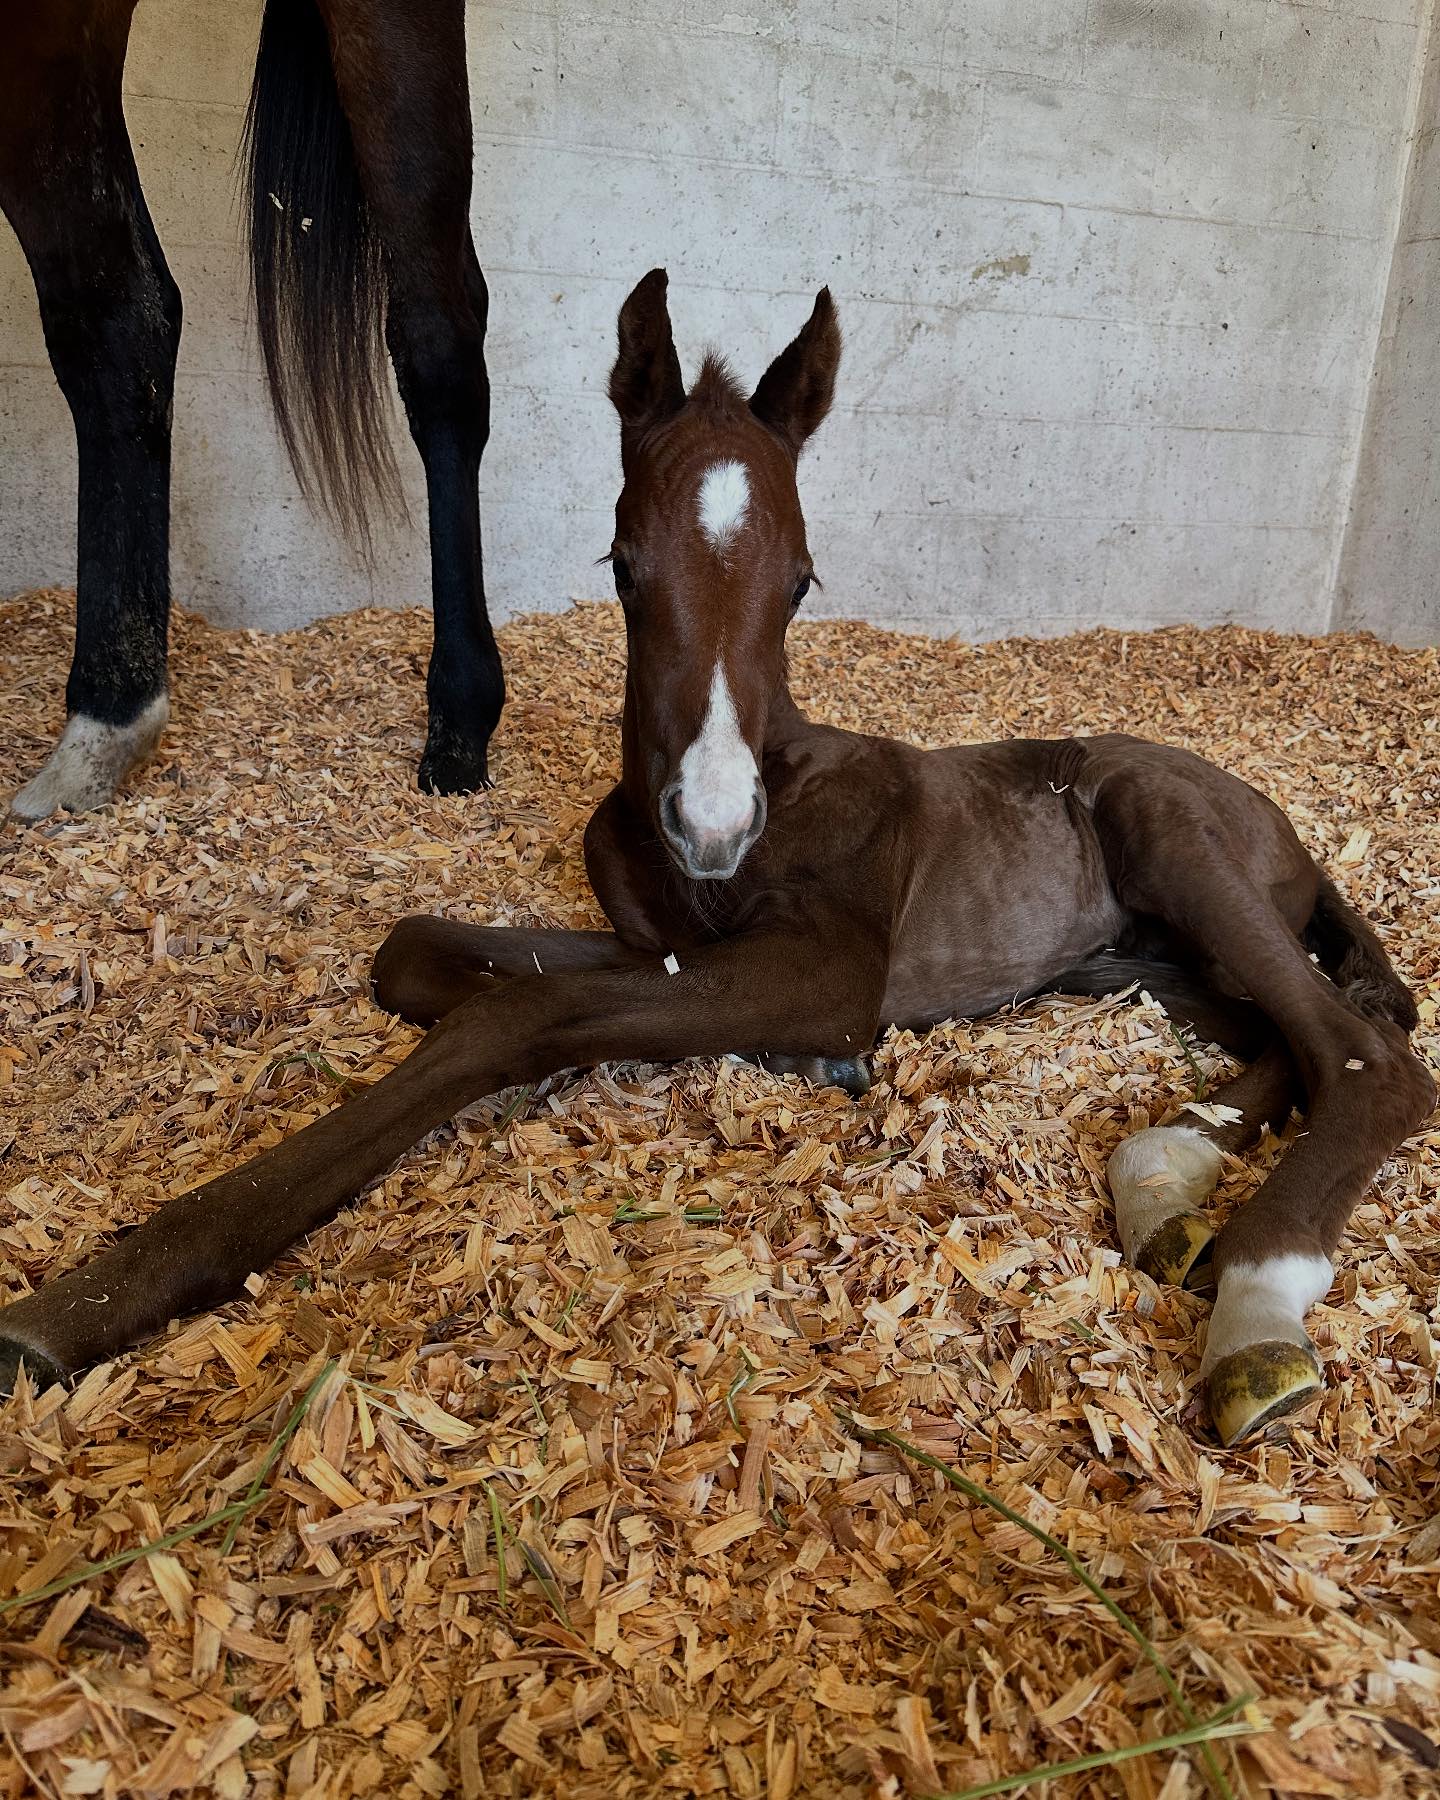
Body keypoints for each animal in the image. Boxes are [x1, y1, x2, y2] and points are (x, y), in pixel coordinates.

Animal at [0, 269, 1431, 1448]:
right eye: (624, 563)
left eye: (803, 581)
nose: (712, 822)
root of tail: (1282, 825)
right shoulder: (662, 941)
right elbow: (427, 957)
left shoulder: (824, 966)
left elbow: (514, 1016)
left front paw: (97, 1294)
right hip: (1134, 960)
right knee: (1286, 1037)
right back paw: (1167, 1183)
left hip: (1170, 842)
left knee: (1367, 1058)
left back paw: (1256, 1312)